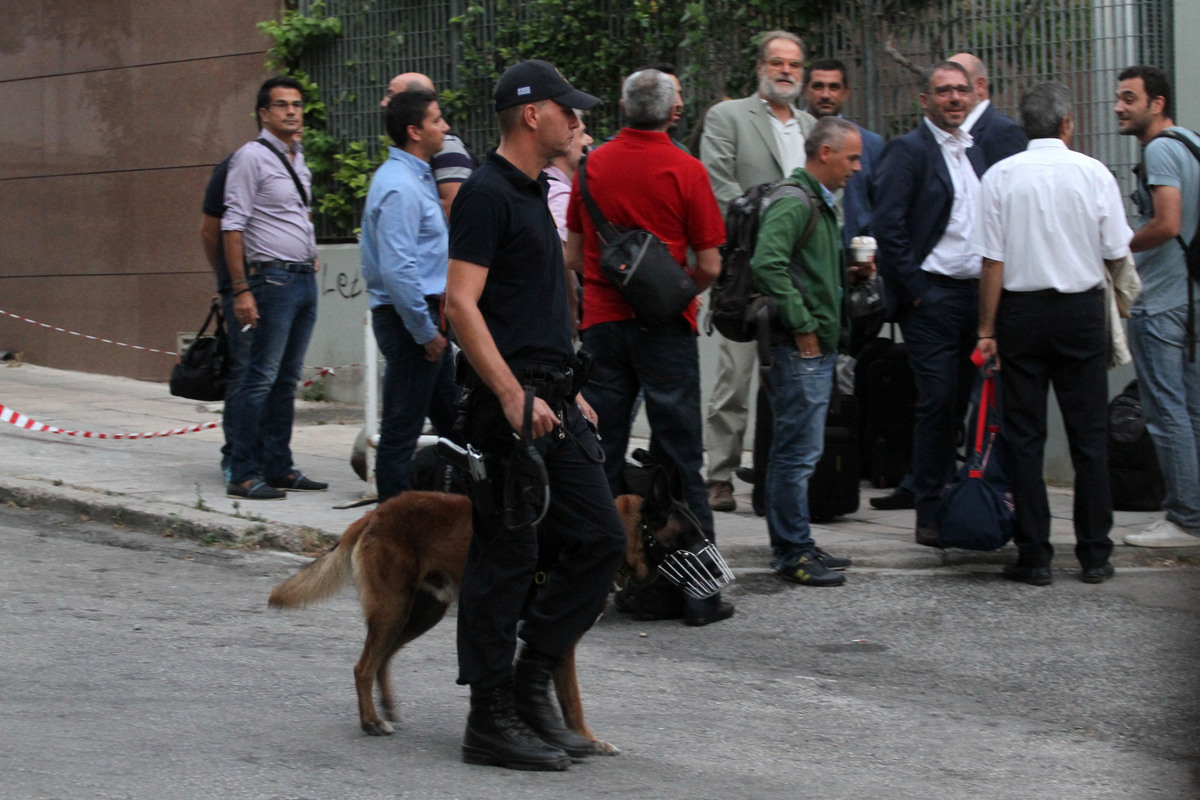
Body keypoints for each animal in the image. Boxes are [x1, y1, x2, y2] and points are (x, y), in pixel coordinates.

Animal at [270, 465, 700, 753]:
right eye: (691, 536)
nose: (713, 573)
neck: (622, 533)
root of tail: (375, 512)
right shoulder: (562, 641)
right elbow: (574, 702)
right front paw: (581, 740)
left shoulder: (560, 642)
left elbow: (567, 700)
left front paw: (573, 738)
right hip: (393, 610)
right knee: (363, 666)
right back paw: (371, 721)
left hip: (419, 614)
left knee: (382, 660)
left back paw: (386, 708)